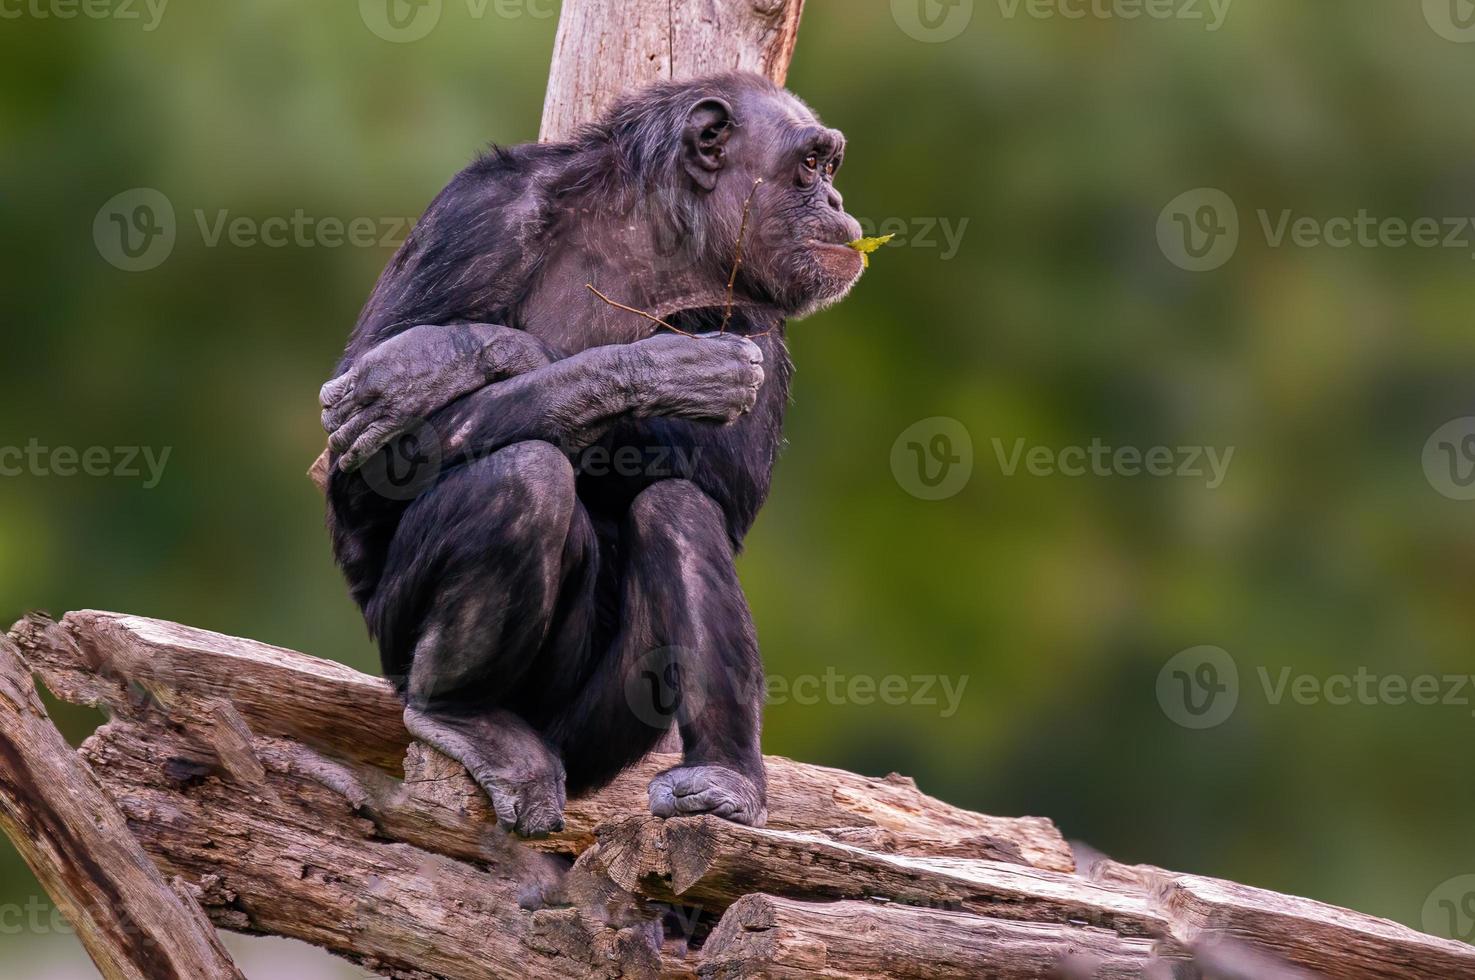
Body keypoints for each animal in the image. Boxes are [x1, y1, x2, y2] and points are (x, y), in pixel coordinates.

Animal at [314, 70, 861, 832]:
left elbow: (728, 485)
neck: (650, 241)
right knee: (522, 477)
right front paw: (447, 360)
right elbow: (360, 470)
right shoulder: (475, 214)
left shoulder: (758, 305)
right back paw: (462, 715)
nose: (836, 201)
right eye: (811, 165)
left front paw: (443, 361)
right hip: (398, 644)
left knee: (678, 510)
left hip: (601, 737)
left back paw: (723, 778)